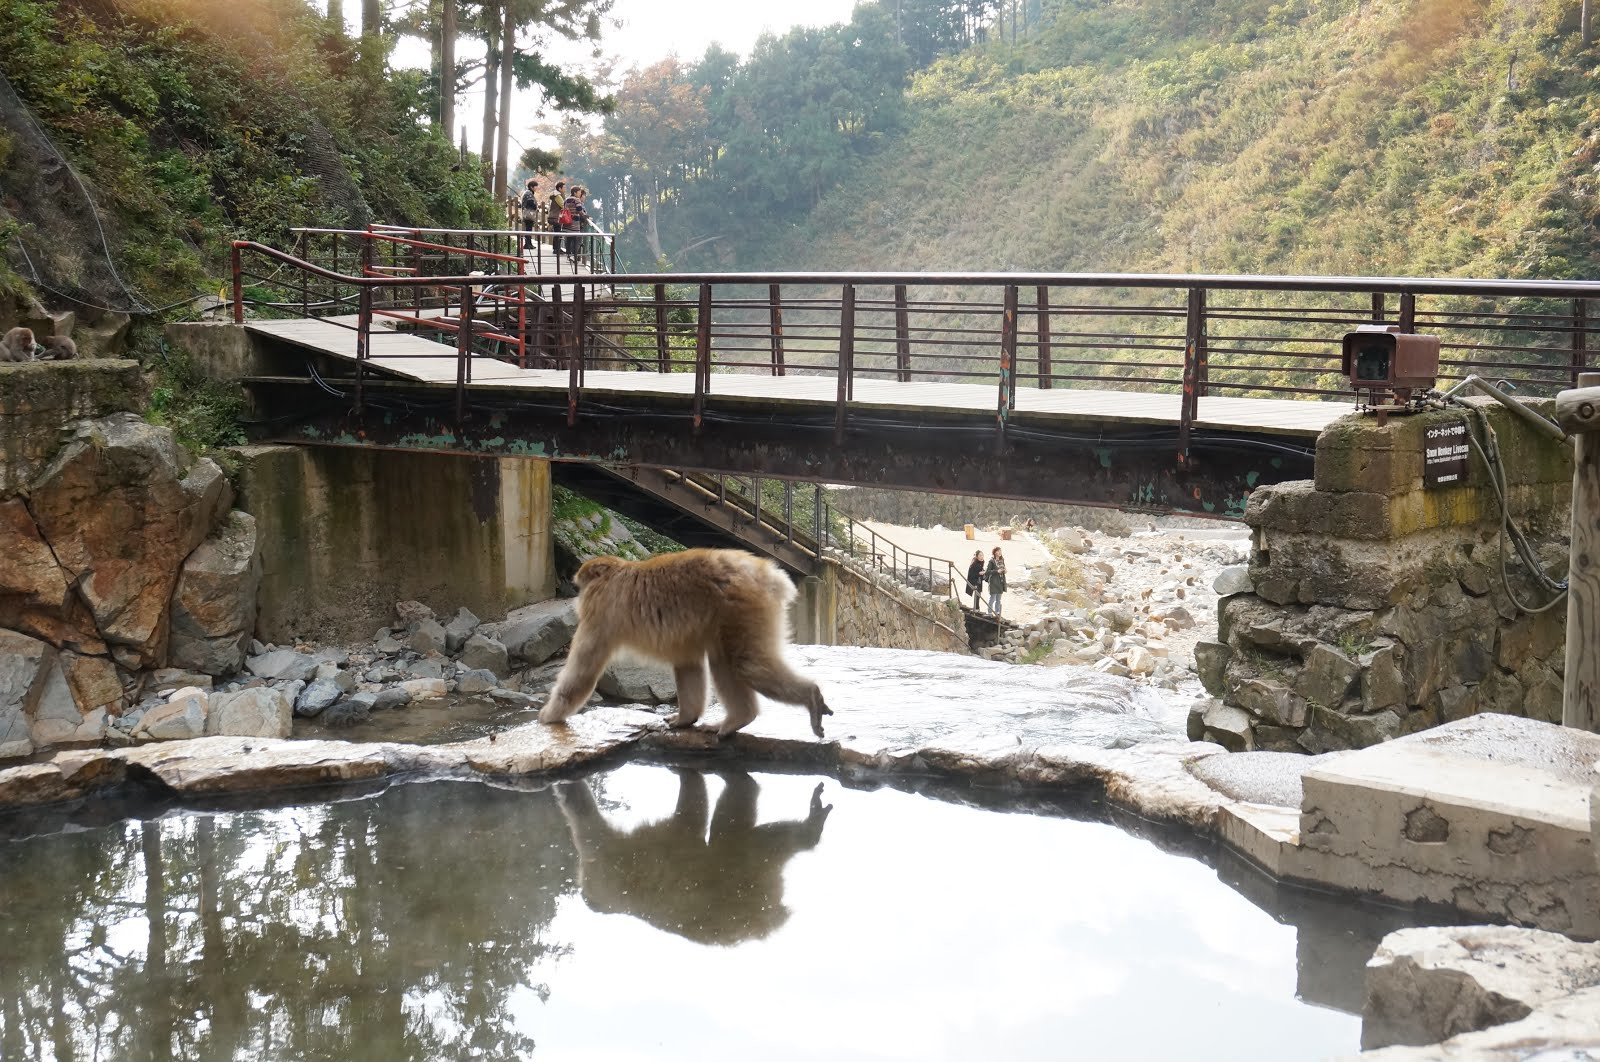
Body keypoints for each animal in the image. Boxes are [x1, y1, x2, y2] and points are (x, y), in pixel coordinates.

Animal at [539, 548, 833, 739]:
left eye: (581, 588)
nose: (575, 597)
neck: (613, 573)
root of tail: (768, 575)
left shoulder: (599, 613)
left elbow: (583, 671)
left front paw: (549, 715)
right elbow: (688, 663)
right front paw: (685, 718)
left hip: (741, 606)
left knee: (746, 663)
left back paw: (810, 695)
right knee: (723, 659)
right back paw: (739, 718)